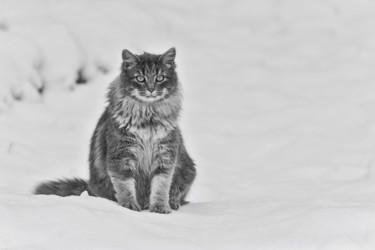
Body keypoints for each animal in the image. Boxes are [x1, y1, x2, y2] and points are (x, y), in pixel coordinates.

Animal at [34, 47, 197, 214]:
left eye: (160, 78)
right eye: (140, 78)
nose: (151, 89)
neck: (148, 117)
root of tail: (89, 187)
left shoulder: (165, 157)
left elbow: (161, 187)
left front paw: (160, 207)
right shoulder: (121, 156)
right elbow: (125, 187)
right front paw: (129, 205)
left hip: (188, 171)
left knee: (178, 194)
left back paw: (173, 203)